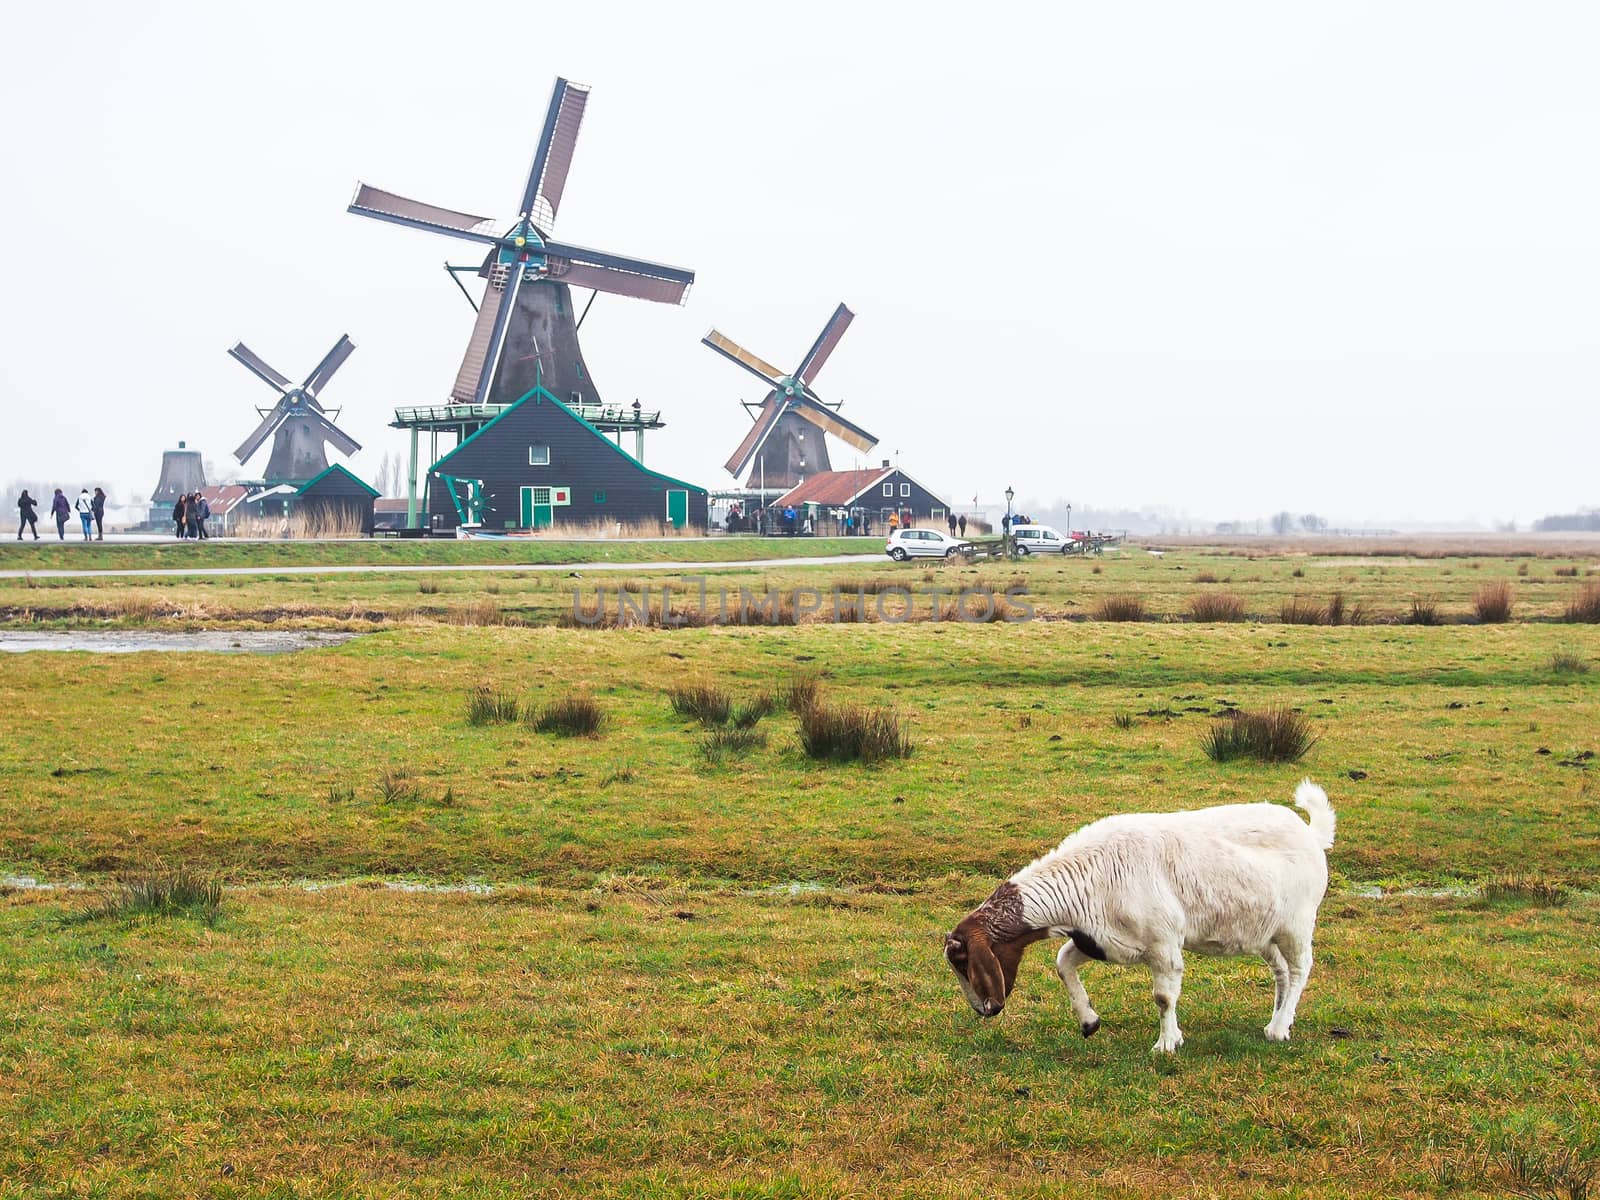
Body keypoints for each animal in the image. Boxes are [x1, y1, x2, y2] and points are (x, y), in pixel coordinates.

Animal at [940, 780, 1331, 1049]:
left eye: (964, 961)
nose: (985, 1009)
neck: (1091, 875)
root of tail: (1311, 833)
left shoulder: (1163, 943)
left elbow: (1164, 997)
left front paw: (1167, 1043)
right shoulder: (1102, 940)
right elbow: (1063, 962)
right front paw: (1089, 1022)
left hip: (1297, 923)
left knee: (1300, 969)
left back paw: (1279, 1029)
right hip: (1263, 930)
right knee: (1281, 972)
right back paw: (1278, 1020)